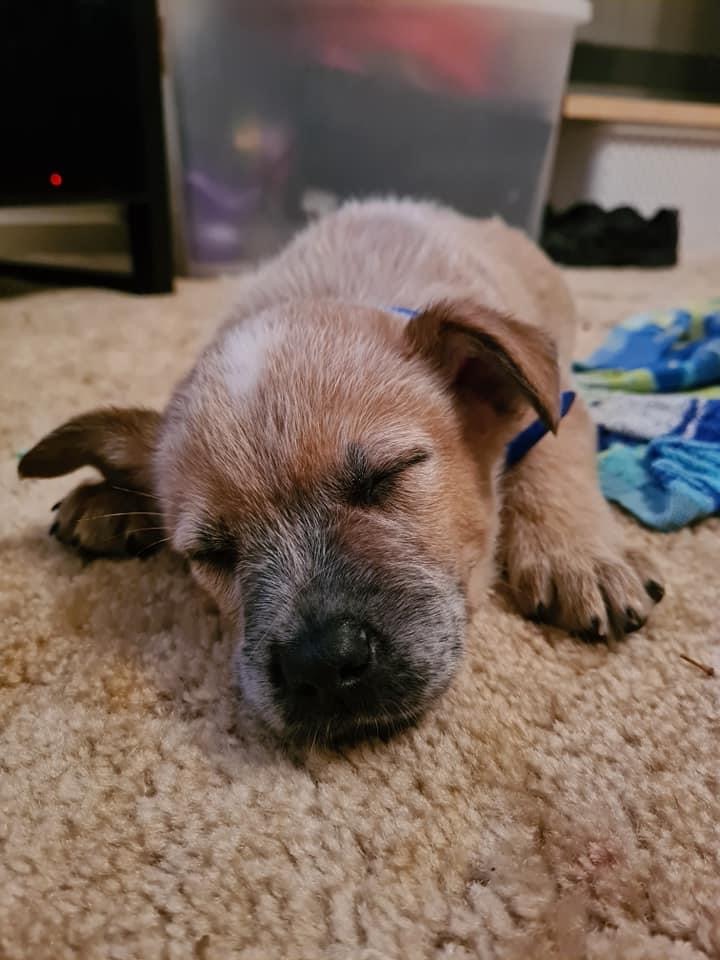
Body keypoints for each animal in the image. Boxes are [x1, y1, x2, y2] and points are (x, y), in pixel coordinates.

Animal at [19, 199, 664, 744]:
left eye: (390, 474)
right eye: (211, 552)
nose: (322, 665)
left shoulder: (563, 404)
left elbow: (553, 454)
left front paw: (578, 556)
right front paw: (111, 494)